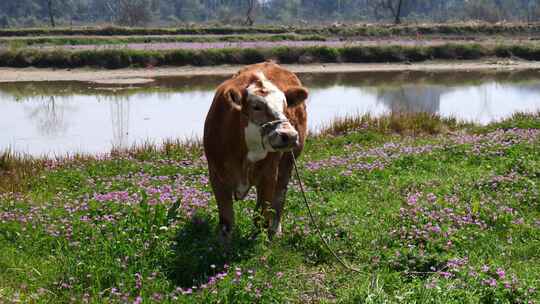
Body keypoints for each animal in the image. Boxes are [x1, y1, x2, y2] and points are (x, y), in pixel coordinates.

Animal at [205, 61, 308, 242]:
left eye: (285, 106)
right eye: (256, 106)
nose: (289, 135)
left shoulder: (269, 176)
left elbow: (261, 215)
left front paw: (258, 241)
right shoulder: (217, 176)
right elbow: (226, 219)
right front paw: (222, 244)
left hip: (288, 164)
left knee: (280, 197)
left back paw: (275, 230)